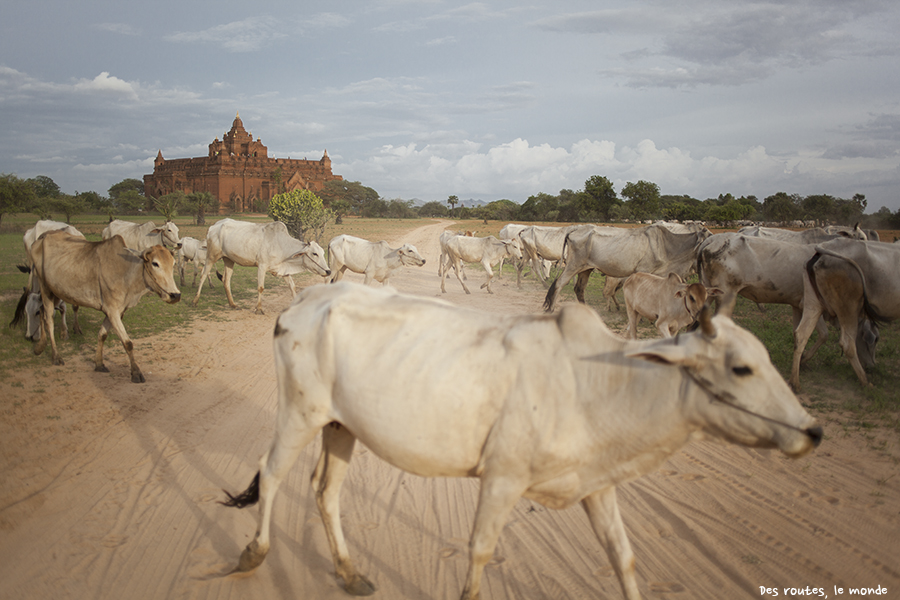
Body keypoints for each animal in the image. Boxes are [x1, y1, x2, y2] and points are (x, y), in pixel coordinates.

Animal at [192, 219, 330, 314]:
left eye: (323, 253)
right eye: (315, 253)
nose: (328, 271)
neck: (281, 245)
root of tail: (213, 226)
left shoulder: (284, 270)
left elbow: (292, 286)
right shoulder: (262, 266)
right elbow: (260, 288)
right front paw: (258, 309)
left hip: (229, 260)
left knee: (226, 281)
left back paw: (233, 304)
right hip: (211, 256)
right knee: (203, 275)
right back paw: (195, 301)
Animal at [223, 282, 824, 600]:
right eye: (742, 368)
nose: (813, 431)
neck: (597, 384)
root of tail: (304, 299)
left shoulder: (597, 485)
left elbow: (623, 557)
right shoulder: (502, 478)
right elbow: (480, 552)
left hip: (340, 427)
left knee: (325, 492)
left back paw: (349, 573)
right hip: (300, 412)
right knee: (271, 473)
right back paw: (255, 552)